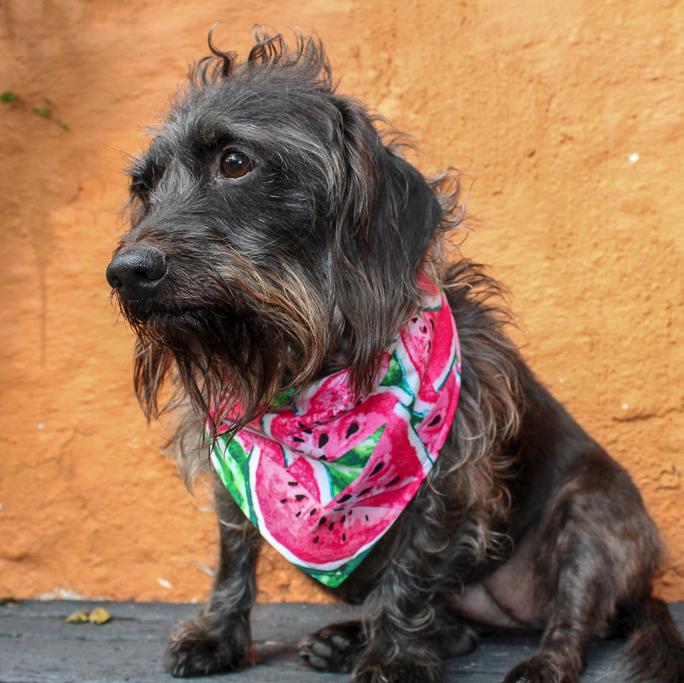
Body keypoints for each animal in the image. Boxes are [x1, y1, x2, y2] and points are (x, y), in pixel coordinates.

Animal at [107, 29, 684, 680]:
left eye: (234, 162)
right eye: (144, 188)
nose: (125, 273)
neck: (308, 369)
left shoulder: (447, 476)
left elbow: (414, 572)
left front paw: (397, 657)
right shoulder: (234, 470)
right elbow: (235, 555)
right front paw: (218, 635)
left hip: (592, 516)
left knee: (575, 619)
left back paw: (542, 660)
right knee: (460, 630)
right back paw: (347, 638)